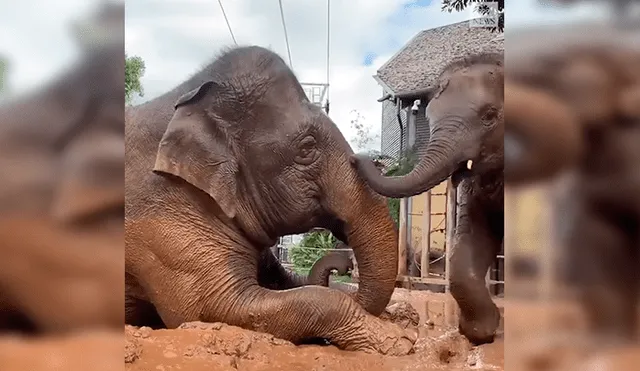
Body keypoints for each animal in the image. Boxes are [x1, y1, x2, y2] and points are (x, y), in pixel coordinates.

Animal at [125, 45, 416, 354]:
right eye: (307, 147)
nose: (344, 264)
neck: (185, 96)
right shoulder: (159, 219)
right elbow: (211, 307)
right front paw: (399, 342)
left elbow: (291, 283)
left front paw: (403, 317)